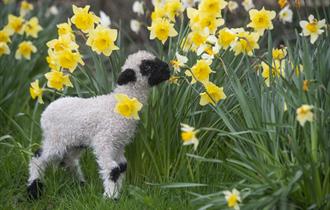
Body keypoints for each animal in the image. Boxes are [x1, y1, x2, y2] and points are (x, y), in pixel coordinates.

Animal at [27, 50, 170, 200]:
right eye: (147, 67)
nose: (168, 69)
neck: (118, 104)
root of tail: (46, 111)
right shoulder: (104, 140)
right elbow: (113, 168)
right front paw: (111, 197)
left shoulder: (118, 143)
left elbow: (122, 166)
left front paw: (118, 192)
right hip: (56, 140)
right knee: (38, 157)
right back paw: (34, 190)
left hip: (75, 142)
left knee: (69, 160)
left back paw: (80, 184)